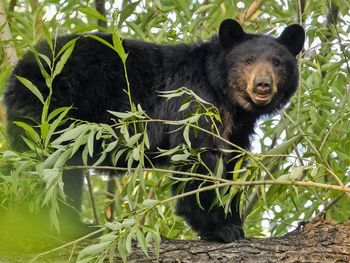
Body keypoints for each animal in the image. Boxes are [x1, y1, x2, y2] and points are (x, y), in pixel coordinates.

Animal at [3, 19, 304, 243]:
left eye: (278, 62)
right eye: (248, 60)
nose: (263, 84)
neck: (228, 99)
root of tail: (18, 73)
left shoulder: (238, 130)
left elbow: (231, 167)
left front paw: (233, 220)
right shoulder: (194, 101)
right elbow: (198, 157)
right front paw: (218, 228)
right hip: (54, 110)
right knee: (55, 170)